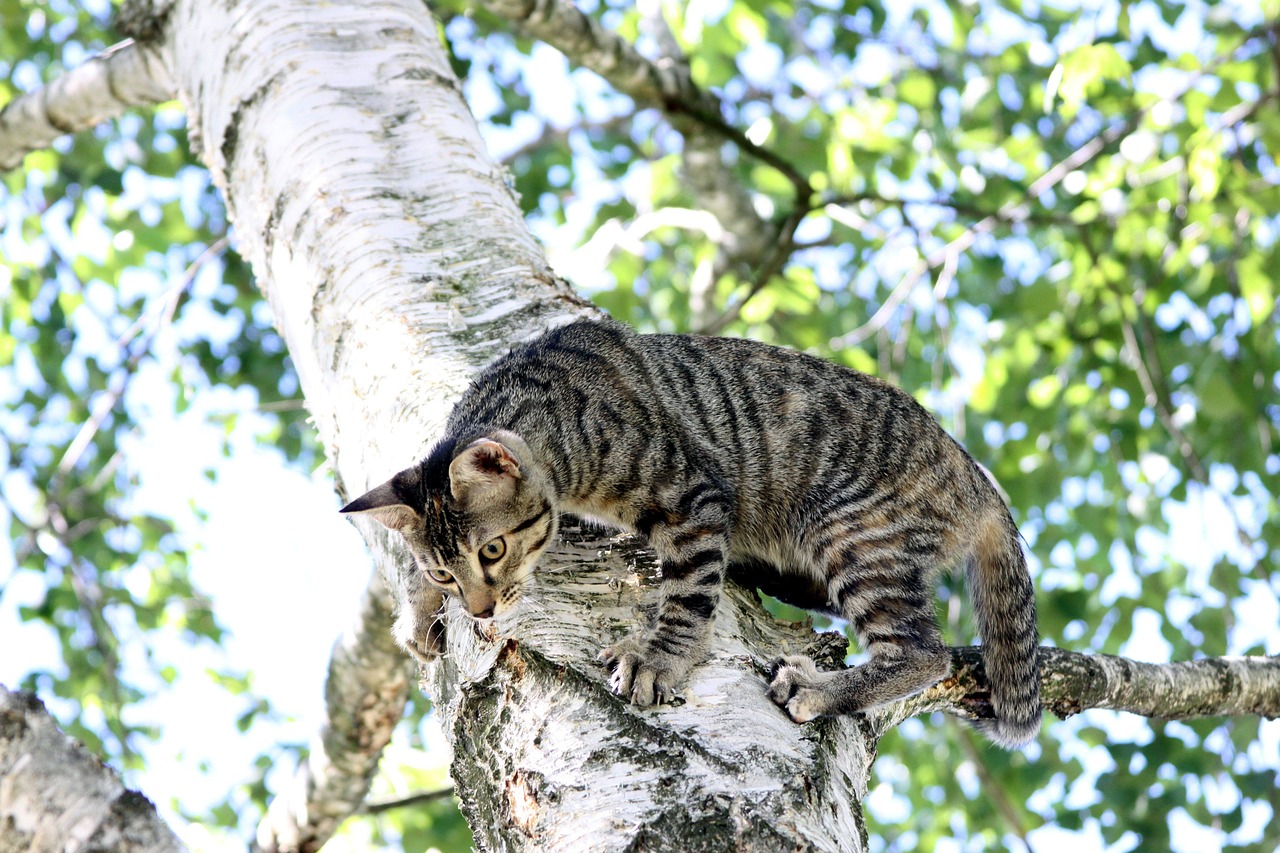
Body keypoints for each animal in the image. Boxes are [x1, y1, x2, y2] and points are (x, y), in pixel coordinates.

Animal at [340, 317, 1039, 742]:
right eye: (443, 568)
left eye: (492, 549)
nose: (481, 609)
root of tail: (979, 481)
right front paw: (419, 611)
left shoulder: (691, 498)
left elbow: (687, 595)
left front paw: (656, 659)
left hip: (853, 533)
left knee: (923, 652)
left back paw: (820, 689)